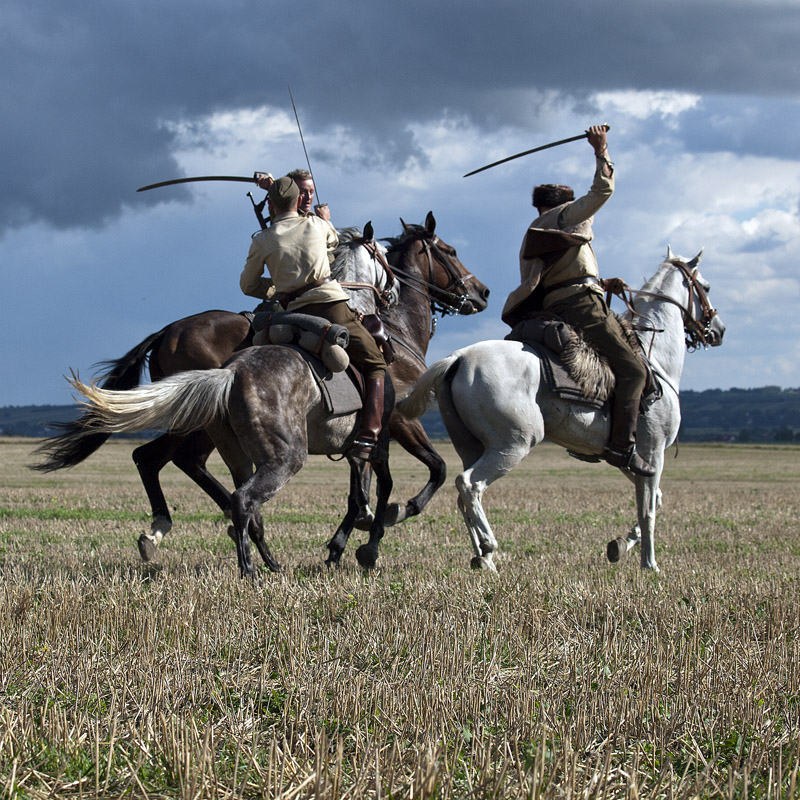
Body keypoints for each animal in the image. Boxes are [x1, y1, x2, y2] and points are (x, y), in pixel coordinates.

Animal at [35, 213, 489, 566]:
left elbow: (362, 488)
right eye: (449, 250)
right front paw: (376, 532)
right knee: (169, 461)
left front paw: (348, 539)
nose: (481, 292)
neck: (391, 329)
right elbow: (428, 471)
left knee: (165, 460)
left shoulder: (363, 438)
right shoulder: (396, 424)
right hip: (204, 427)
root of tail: (167, 331)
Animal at [397, 249, 726, 573]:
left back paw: (484, 559)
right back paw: (489, 547)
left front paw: (620, 546)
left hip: (473, 446)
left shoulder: (630, 459)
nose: (718, 331)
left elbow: (654, 499)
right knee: (469, 484)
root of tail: (459, 357)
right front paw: (649, 564)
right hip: (513, 445)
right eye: (706, 287)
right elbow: (648, 510)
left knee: (463, 496)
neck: (656, 361)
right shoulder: (653, 454)